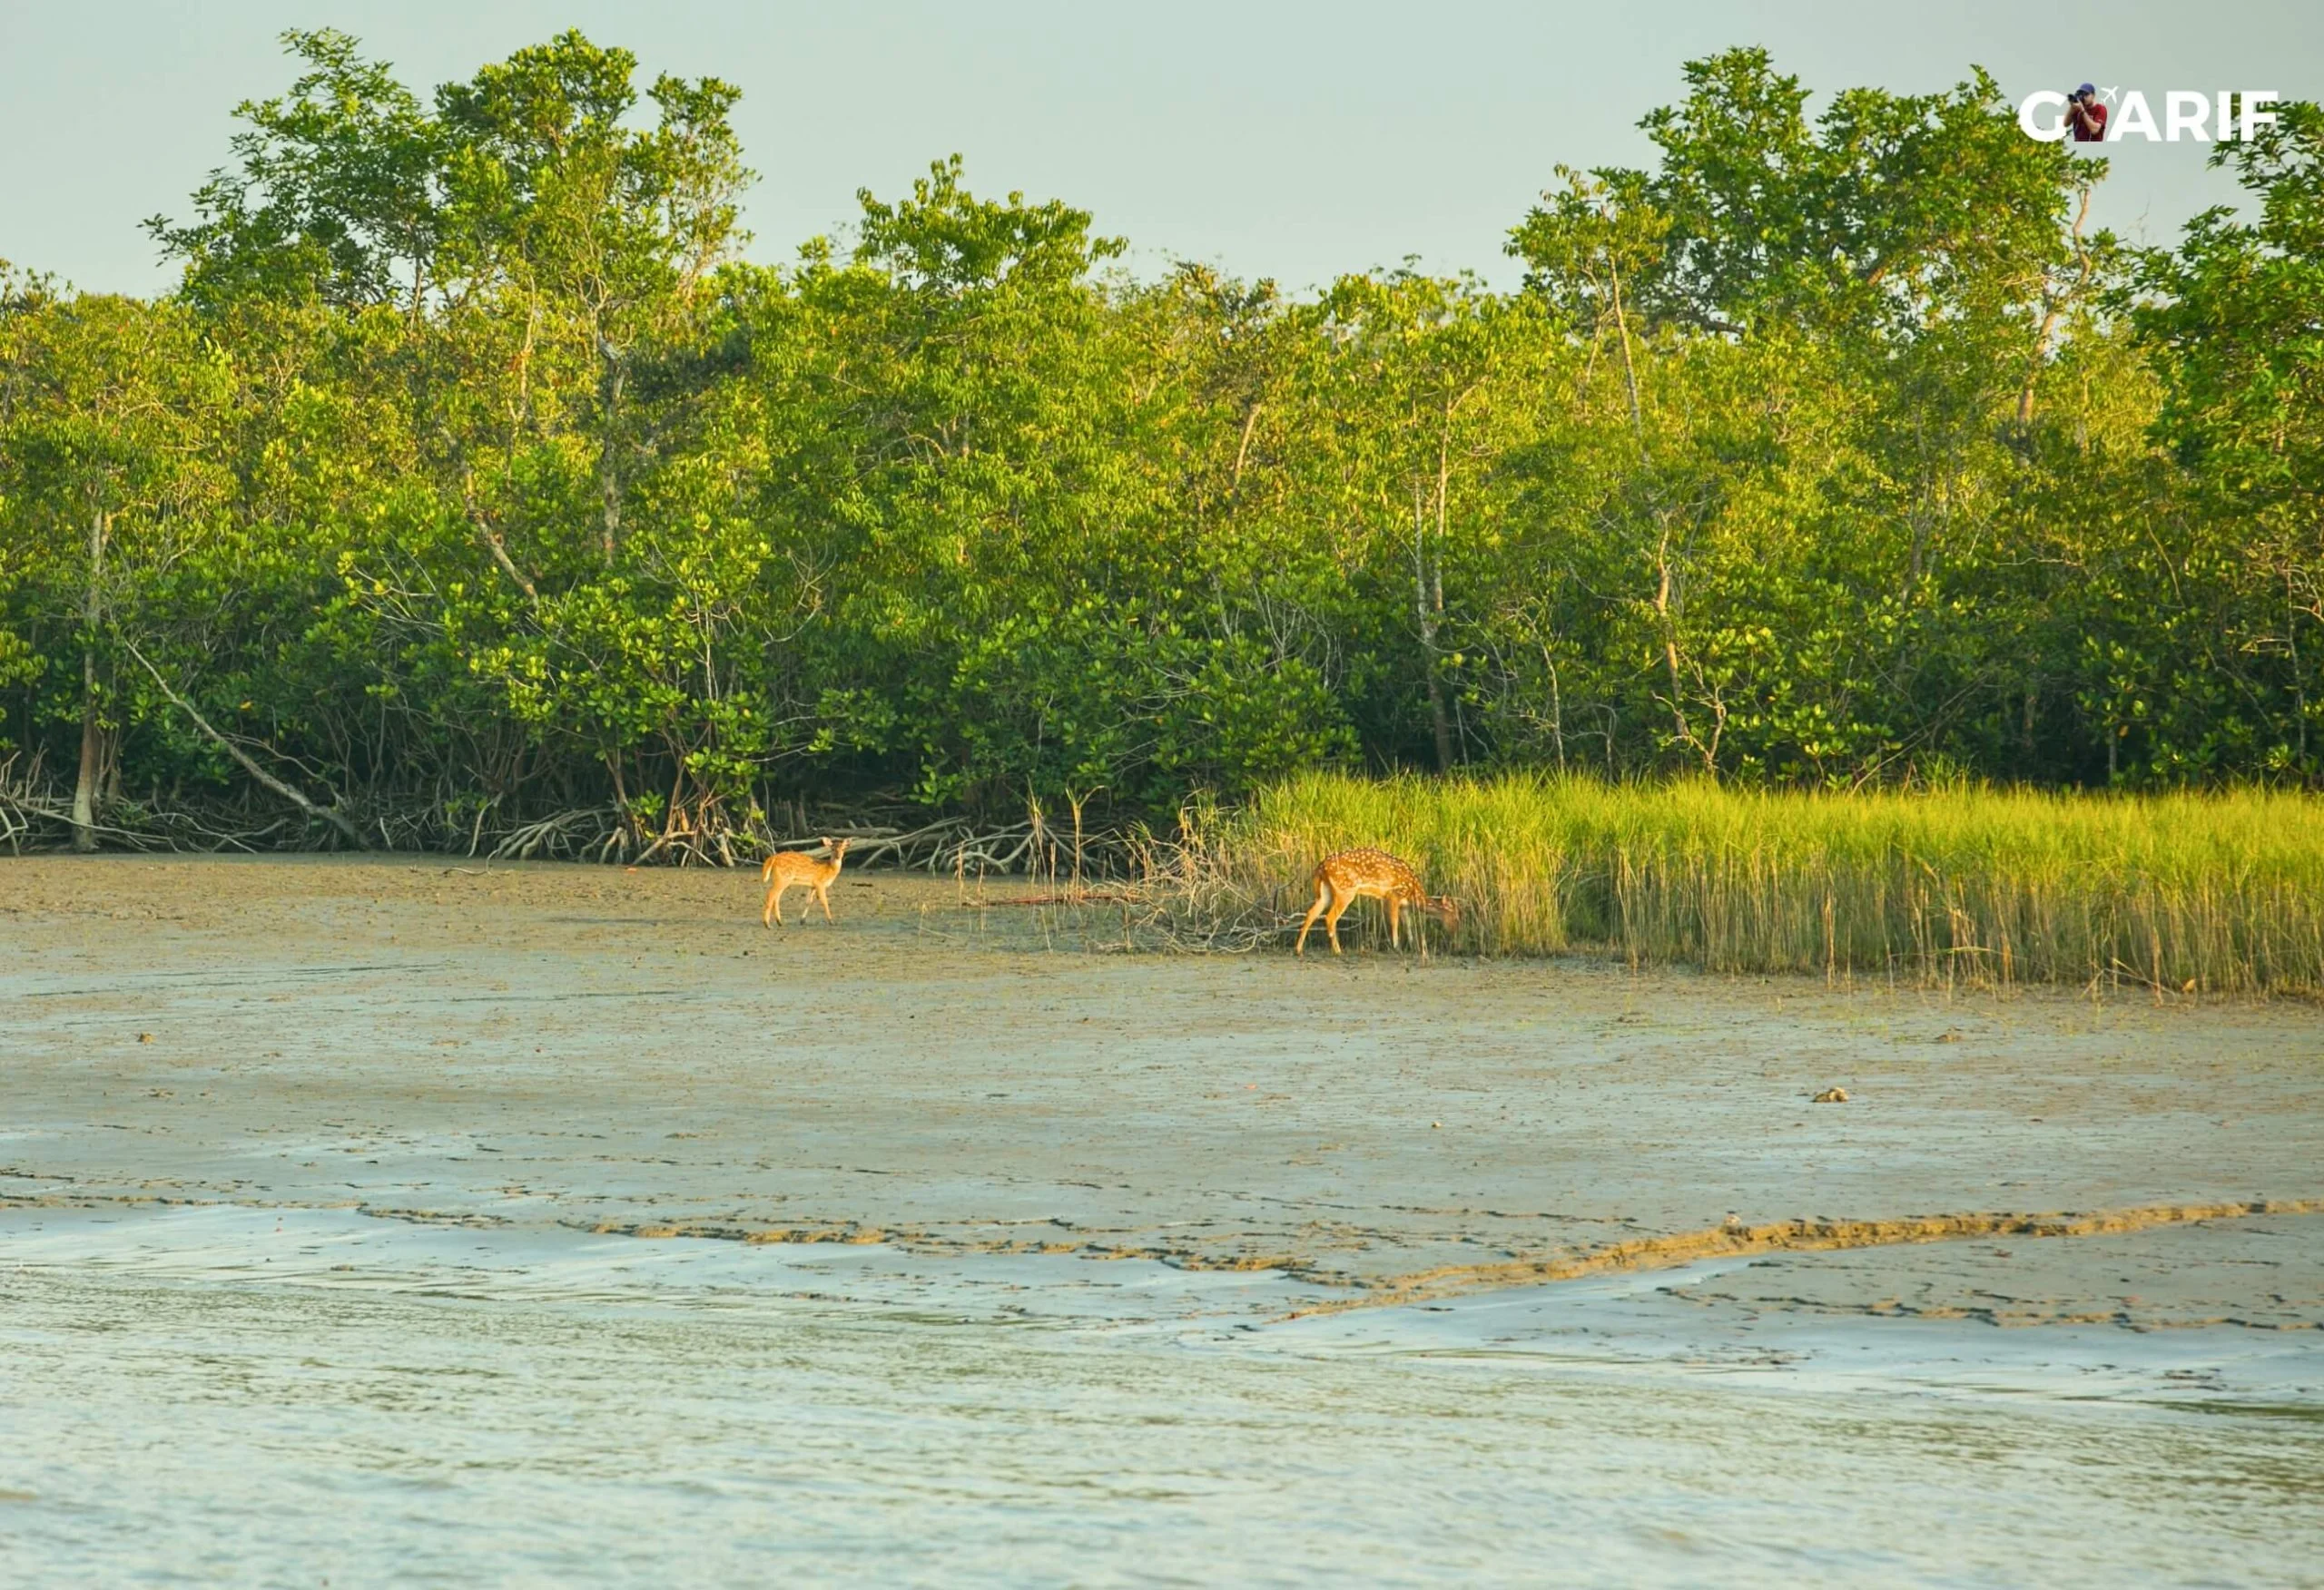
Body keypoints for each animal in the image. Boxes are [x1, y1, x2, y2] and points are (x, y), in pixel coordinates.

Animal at [1292, 846, 1450, 957]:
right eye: (1453, 913)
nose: (1453, 931)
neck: (1414, 892)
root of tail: (1320, 868)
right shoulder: (1394, 895)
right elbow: (1394, 921)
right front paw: (1397, 947)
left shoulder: (1403, 905)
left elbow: (1408, 924)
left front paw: (1414, 947)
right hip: (1345, 891)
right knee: (1330, 917)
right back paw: (1338, 951)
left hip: (1326, 893)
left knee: (1311, 913)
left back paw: (1298, 950)